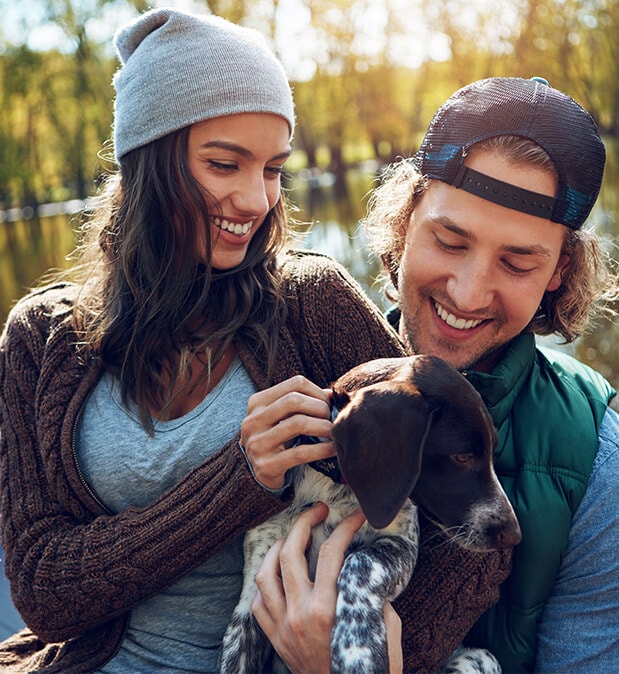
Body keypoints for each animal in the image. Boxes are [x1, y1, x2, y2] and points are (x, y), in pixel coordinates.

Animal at [220, 354, 520, 668]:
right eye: (462, 456)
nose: (514, 535)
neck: (333, 484)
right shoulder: (254, 589)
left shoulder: (402, 545)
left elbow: (360, 562)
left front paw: (357, 647)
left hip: (480, 657)